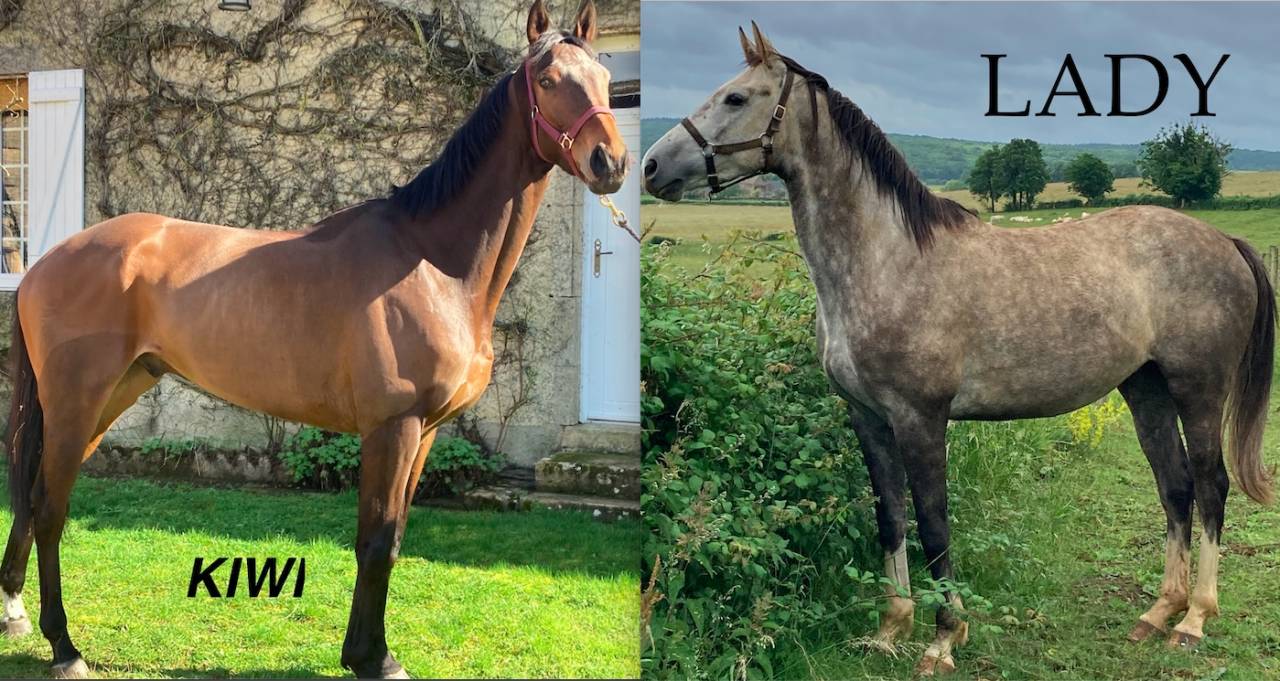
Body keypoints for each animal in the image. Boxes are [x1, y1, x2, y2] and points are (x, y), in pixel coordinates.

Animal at [0, 0, 628, 676]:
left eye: (603, 77)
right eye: (548, 78)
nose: (611, 163)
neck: (433, 261)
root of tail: (42, 264)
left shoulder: (425, 432)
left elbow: (394, 536)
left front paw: (362, 652)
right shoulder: (393, 426)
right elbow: (375, 540)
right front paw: (376, 658)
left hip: (108, 398)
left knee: (34, 499)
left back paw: (15, 612)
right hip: (76, 402)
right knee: (50, 508)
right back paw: (64, 647)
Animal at [642, 23, 1274, 676]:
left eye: (737, 97)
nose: (651, 166)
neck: (887, 261)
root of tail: (1223, 239)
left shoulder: (921, 419)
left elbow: (933, 524)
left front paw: (944, 638)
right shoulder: (867, 417)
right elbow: (890, 518)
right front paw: (890, 628)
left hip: (1198, 390)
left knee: (1210, 486)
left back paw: (1195, 618)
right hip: (1145, 388)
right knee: (1174, 485)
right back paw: (1158, 612)